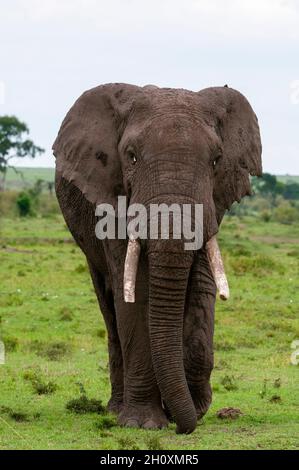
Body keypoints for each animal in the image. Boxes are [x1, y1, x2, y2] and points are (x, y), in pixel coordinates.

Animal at [53, 83, 262, 434]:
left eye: (217, 160)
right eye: (132, 157)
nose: (183, 425)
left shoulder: (211, 205)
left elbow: (201, 286)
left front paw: (194, 409)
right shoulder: (113, 200)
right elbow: (135, 293)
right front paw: (144, 424)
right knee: (109, 306)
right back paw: (116, 409)